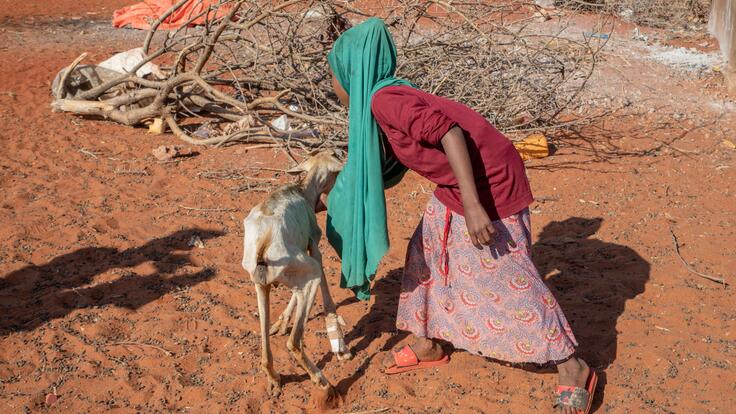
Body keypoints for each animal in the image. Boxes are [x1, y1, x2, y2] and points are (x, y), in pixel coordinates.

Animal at [239, 150, 348, 400]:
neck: (302, 190)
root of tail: (264, 241)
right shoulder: (313, 248)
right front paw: (340, 343)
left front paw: (280, 323)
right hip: (308, 271)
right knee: (294, 343)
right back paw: (322, 381)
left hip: (260, 283)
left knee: (264, 342)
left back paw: (273, 378)